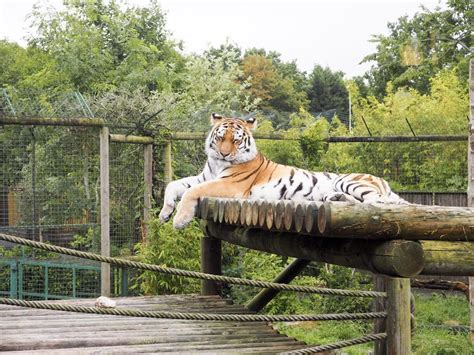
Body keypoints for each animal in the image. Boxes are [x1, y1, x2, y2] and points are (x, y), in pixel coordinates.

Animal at [160, 114, 408, 231]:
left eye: (236, 141)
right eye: (220, 138)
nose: (224, 153)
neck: (217, 164)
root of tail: (384, 182)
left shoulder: (230, 184)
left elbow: (192, 192)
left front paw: (179, 220)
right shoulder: (203, 177)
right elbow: (173, 185)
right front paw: (165, 212)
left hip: (351, 181)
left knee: (379, 204)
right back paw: (336, 199)